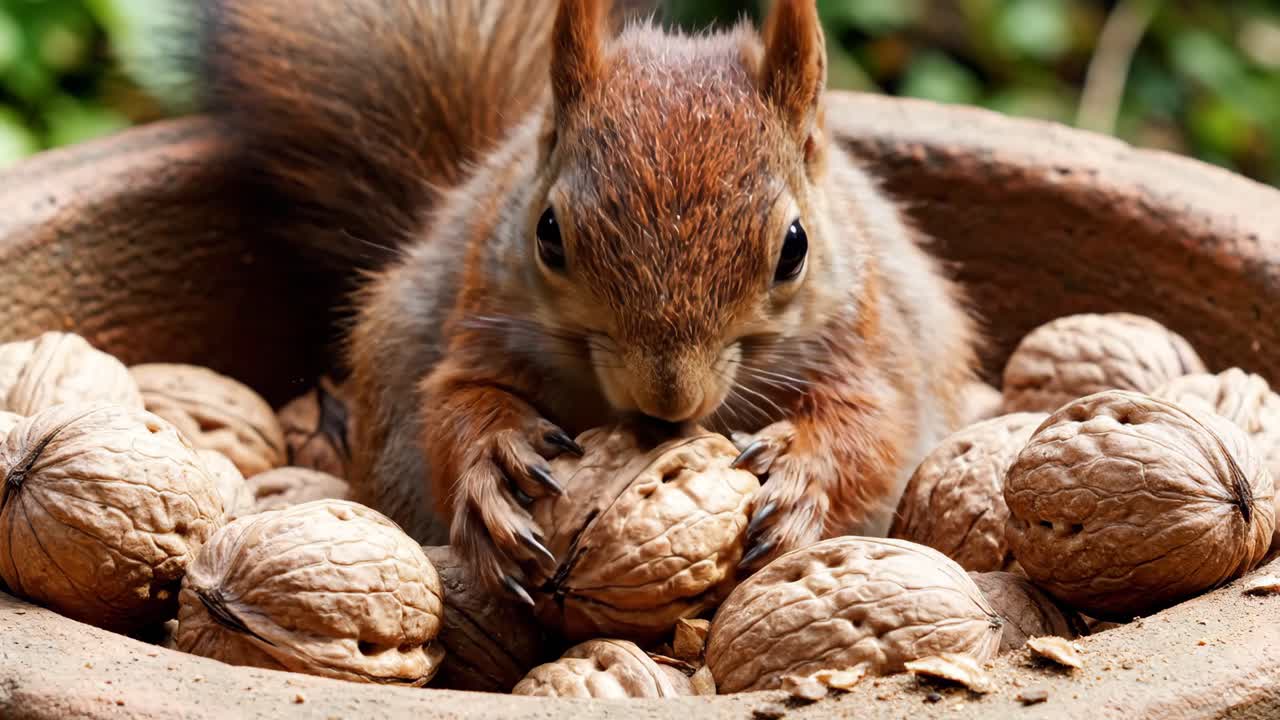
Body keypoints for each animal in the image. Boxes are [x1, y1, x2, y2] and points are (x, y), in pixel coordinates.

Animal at [198, 0, 978, 601]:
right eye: (548, 233)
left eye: (795, 247)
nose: (668, 402)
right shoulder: (478, 318)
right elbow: (451, 403)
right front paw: (494, 464)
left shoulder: (868, 339)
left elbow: (873, 426)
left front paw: (796, 472)